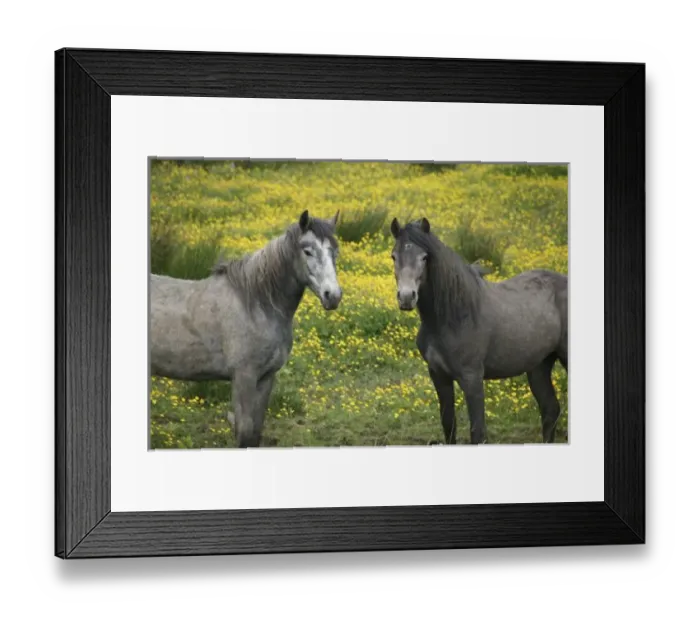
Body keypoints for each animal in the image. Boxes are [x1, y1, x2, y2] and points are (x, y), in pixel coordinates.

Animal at [149, 210, 342, 448]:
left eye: (335, 251)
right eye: (307, 251)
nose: (332, 296)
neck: (257, 305)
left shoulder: (266, 377)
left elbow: (255, 433)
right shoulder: (243, 377)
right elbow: (245, 433)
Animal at [389, 217, 568, 445]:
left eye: (424, 257)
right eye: (394, 256)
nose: (406, 297)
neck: (455, 316)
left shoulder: (472, 378)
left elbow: (478, 431)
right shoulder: (439, 376)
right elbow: (449, 425)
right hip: (539, 365)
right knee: (550, 410)